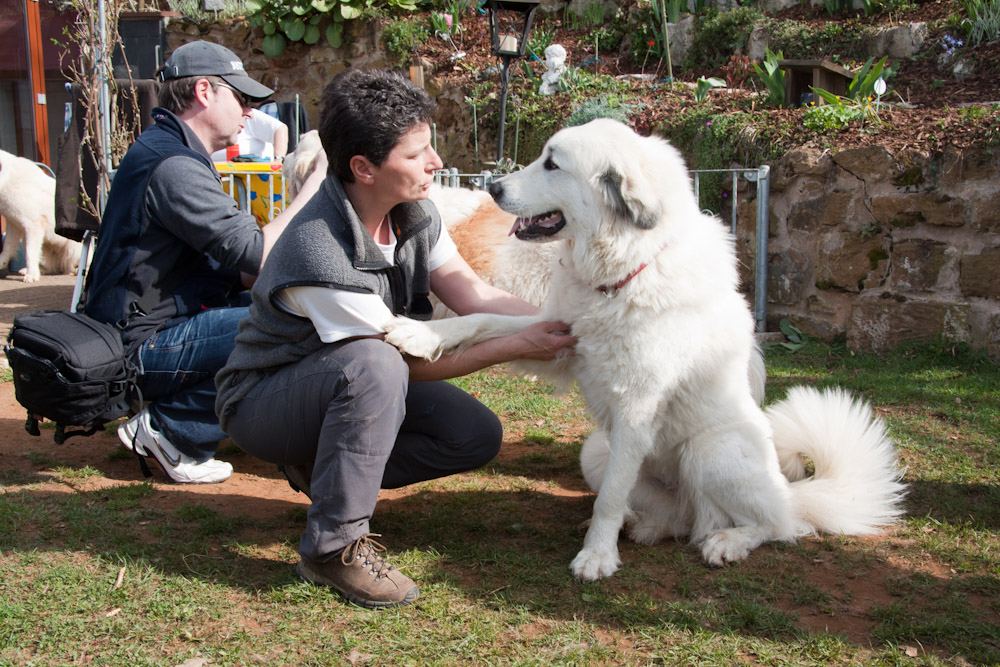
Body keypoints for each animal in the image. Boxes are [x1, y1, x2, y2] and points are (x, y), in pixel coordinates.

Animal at [0, 150, 81, 284]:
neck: (6, 179)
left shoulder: (33, 225)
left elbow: (30, 253)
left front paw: (31, 275)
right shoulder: (14, 225)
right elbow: (7, 247)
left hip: (73, 247)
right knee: (51, 267)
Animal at [384, 118, 908, 580]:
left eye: (552, 164)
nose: (493, 188)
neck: (620, 272)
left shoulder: (637, 407)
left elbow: (611, 499)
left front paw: (596, 557)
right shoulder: (555, 333)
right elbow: (483, 320)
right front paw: (418, 335)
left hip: (709, 451)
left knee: (776, 524)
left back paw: (728, 543)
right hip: (597, 451)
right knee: (680, 522)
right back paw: (644, 526)